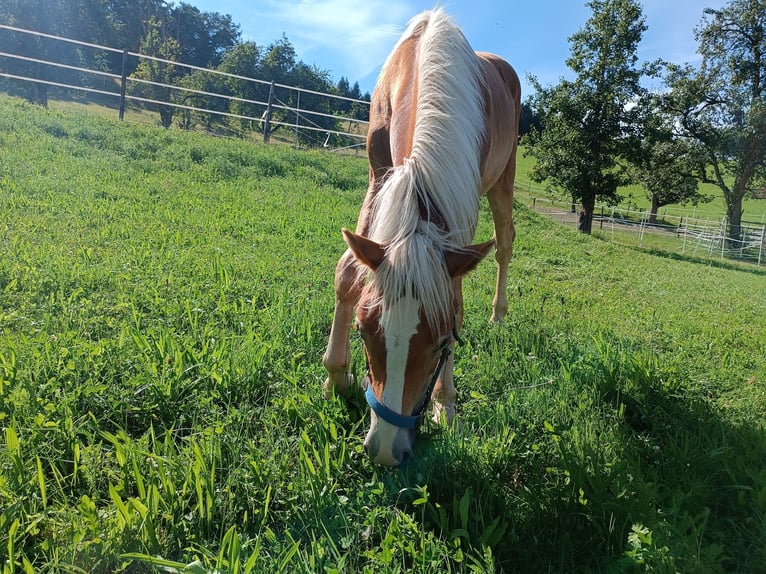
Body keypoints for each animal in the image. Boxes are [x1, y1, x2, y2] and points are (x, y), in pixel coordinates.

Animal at [318, 10, 520, 468]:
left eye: (444, 341)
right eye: (363, 330)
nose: (386, 448)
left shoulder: (461, 206)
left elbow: (457, 298)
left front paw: (446, 402)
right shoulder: (378, 175)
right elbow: (347, 270)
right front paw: (337, 377)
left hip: (503, 180)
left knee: (504, 244)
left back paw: (499, 314)